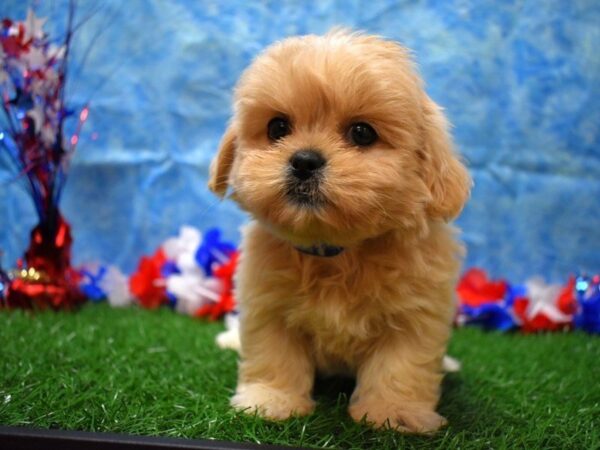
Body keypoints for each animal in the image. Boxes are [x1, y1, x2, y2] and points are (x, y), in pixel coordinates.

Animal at [209, 29, 472, 432]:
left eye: (362, 133)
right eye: (277, 128)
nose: (304, 160)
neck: (337, 253)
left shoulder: (416, 316)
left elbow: (401, 368)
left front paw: (394, 413)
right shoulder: (266, 307)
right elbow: (273, 355)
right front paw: (271, 400)